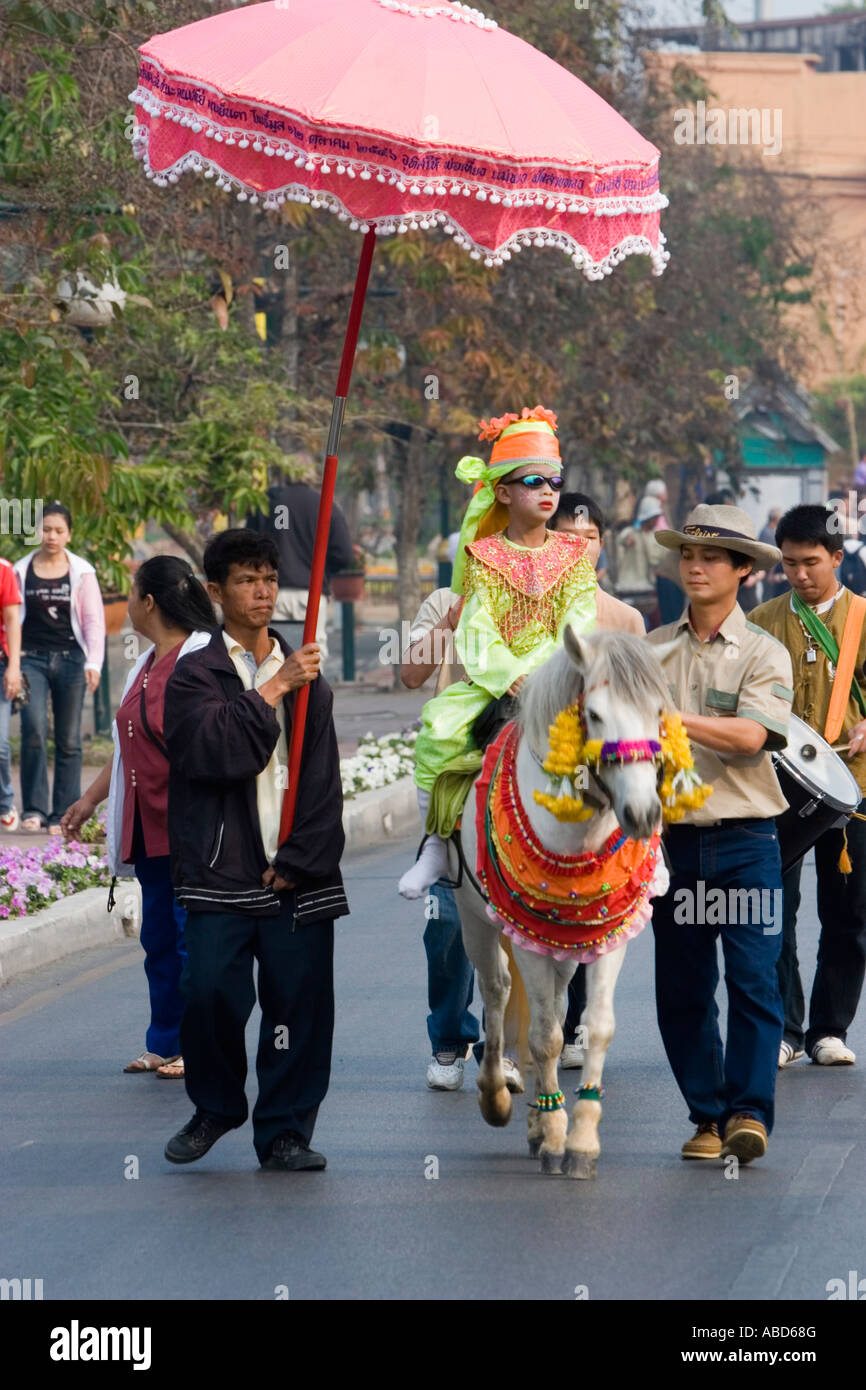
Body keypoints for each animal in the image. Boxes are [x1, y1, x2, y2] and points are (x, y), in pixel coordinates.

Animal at [453, 625, 670, 1178]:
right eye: (593, 714)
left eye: (658, 711)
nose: (642, 813)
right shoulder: (523, 939)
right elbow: (546, 1035)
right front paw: (555, 1137)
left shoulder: (608, 939)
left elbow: (596, 1027)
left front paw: (581, 1140)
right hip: (475, 919)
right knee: (498, 993)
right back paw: (498, 1097)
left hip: (563, 944)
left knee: (545, 1000)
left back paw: (533, 1117)